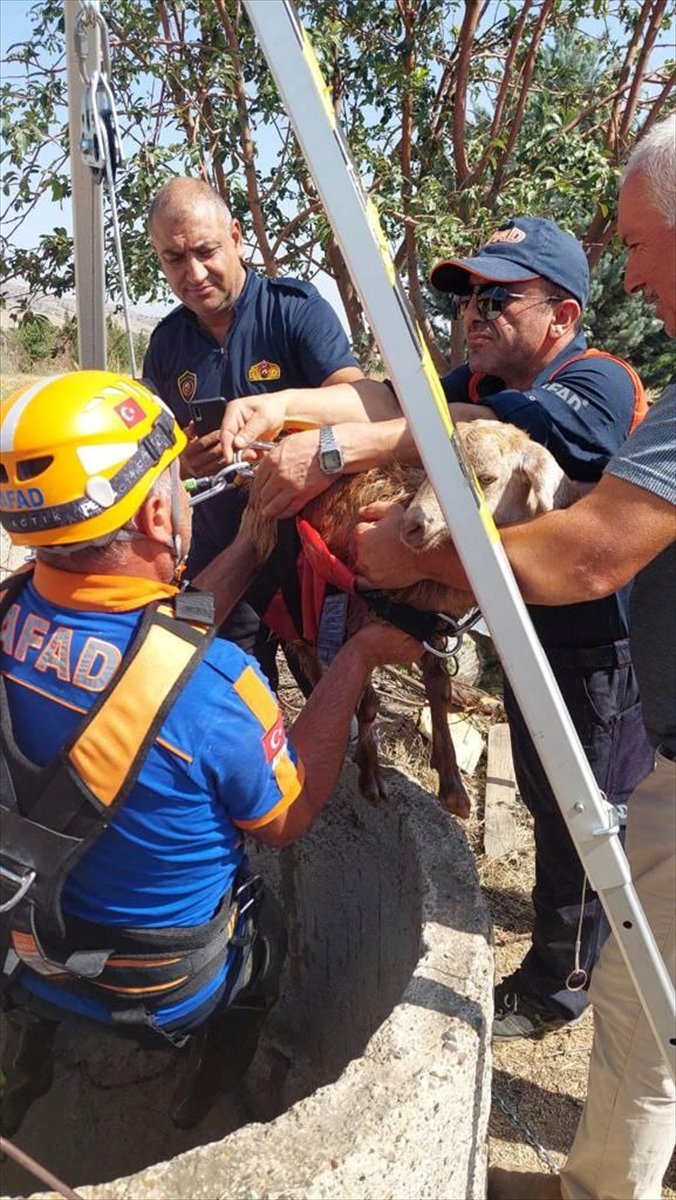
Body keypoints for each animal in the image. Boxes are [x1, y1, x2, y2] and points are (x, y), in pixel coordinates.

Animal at [244, 417, 588, 820]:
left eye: (486, 478)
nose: (412, 525)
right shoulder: (352, 621)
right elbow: (367, 701)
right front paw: (371, 778)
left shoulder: (432, 629)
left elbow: (439, 691)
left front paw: (452, 787)